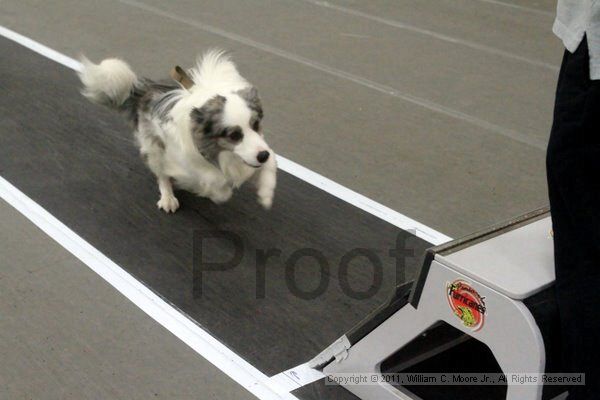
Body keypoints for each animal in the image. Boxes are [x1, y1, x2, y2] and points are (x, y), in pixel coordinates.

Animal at [78, 50, 278, 212]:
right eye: (234, 135)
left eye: (256, 124)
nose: (262, 155)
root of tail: (143, 90)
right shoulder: (189, 164)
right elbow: (216, 186)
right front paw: (214, 191)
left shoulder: (260, 147)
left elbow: (270, 164)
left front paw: (266, 194)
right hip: (154, 147)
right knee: (162, 175)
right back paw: (168, 198)